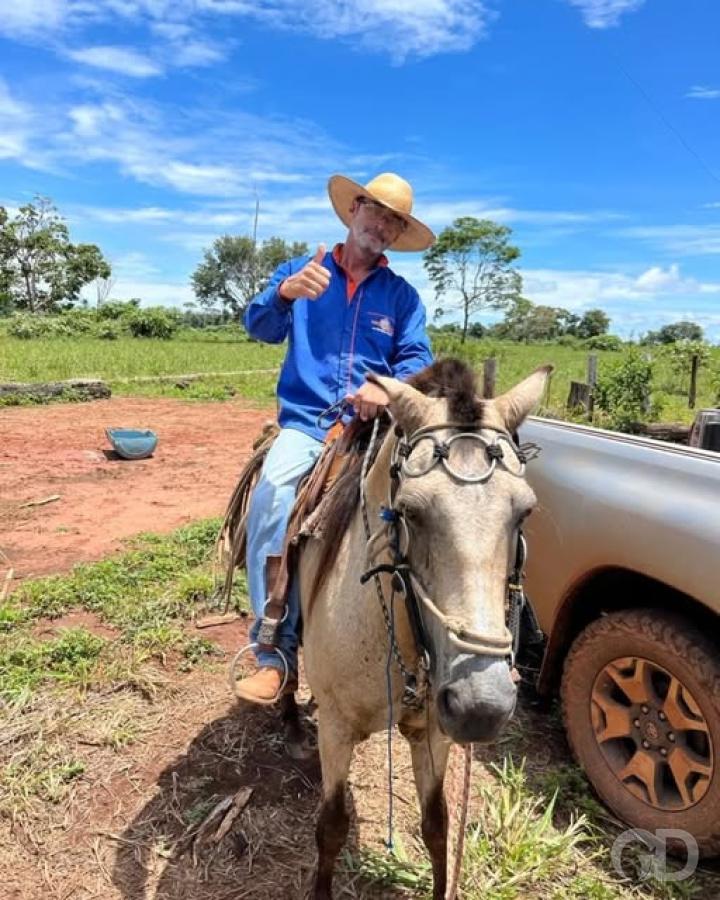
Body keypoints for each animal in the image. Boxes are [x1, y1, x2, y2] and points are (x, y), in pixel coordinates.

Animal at [292, 360, 552, 900]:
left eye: (526, 511)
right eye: (409, 511)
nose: (481, 707)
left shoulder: (434, 730)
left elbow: (437, 825)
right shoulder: (337, 728)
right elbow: (331, 825)